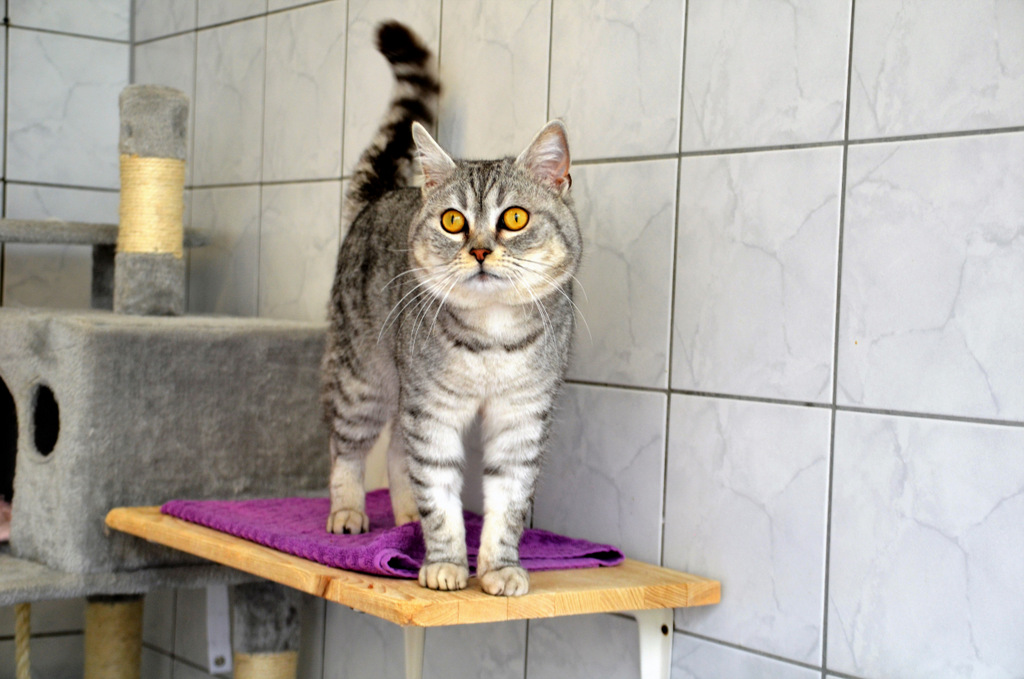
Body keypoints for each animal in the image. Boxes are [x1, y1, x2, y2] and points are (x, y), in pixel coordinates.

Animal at [321, 21, 581, 597]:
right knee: (349, 449)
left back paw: (404, 518)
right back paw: (349, 512)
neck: (492, 336)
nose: (480, 250)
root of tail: (384, 193)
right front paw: (444, 563)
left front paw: (499, 568)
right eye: (453, 221)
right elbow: (440, 496)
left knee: (397, 451)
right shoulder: (433, 412)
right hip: (364, 380)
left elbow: (507, 504)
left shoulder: (522, 419)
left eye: (514, 217)